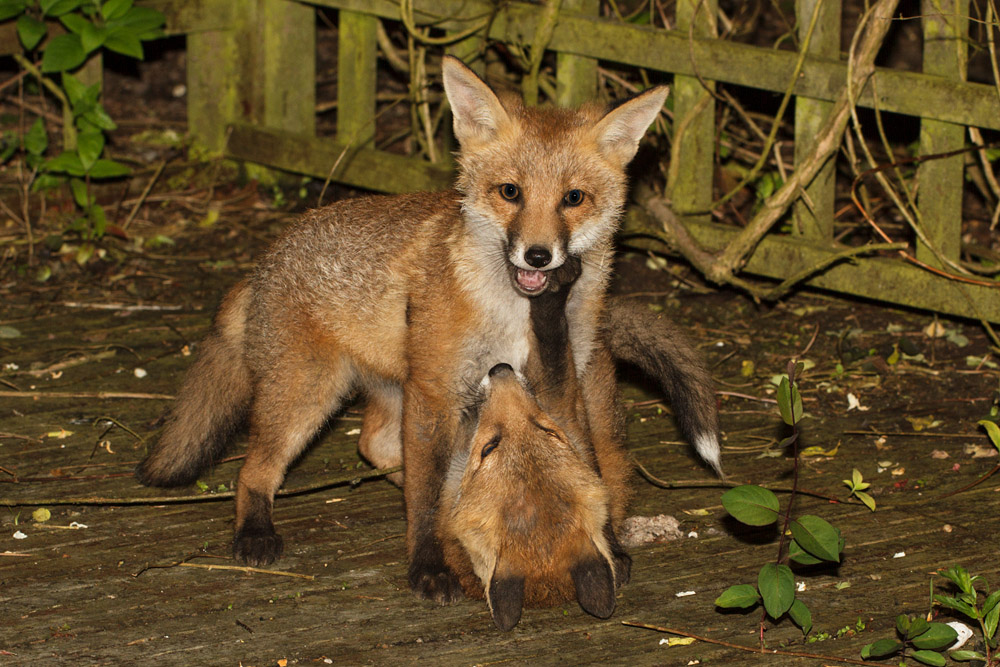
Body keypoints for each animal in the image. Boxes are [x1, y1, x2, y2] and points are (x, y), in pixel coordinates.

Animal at [135, 56, 720, 602]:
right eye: (510, 192)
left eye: (573, 198)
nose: (538, 254)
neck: (511, 313)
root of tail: (264, 262)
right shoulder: (436, 390)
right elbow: (425, 498)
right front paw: (428, 565)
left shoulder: (554, 388)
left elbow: (573, 462)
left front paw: (602, 544)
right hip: (308, 394)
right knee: (257, 471)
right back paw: (256, 533)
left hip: (400, 390)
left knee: (377, 445)